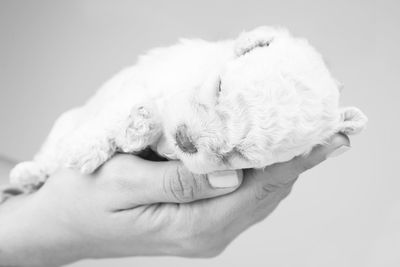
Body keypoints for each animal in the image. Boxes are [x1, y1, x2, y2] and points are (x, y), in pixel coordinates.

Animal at [8, 26, 368, 191]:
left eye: (242, 153)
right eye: (219, 87)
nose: (186, 140)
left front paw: (139, 129)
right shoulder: (151, 78)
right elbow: (117, 114)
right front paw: (87, 149)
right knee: (51, 152)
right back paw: (29, 174)